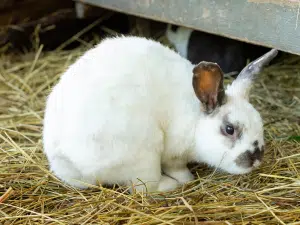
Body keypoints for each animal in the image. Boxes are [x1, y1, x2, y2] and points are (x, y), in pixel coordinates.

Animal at [41, 35, 276, 193]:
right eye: (229, 129)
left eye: (260, 123)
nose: (256, 159)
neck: (196, 121)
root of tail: (69, 160)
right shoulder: (174, 153)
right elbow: (177, 167)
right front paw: (187, 178)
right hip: (144, 156)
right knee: (145, 188)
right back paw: (170, 185)